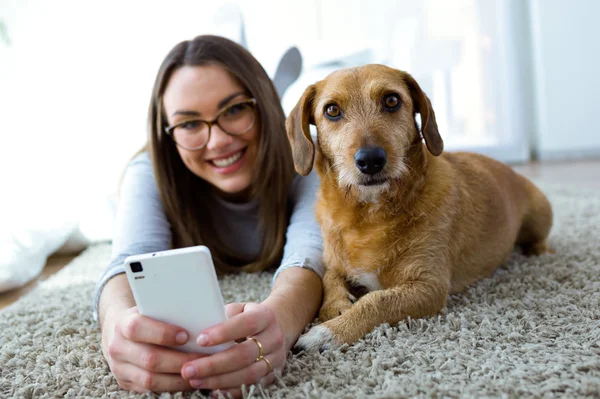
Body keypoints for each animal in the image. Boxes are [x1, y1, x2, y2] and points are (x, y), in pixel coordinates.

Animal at [286, 64, 552, 352]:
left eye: (392, 100)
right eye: (332, 110)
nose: (371, 160)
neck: (368, 215)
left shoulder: (428, 287)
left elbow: (375, 301)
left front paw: (327, 332)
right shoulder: (335, 263)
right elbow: (328, 279)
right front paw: (335, 308)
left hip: (541, 214)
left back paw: (539, 251)